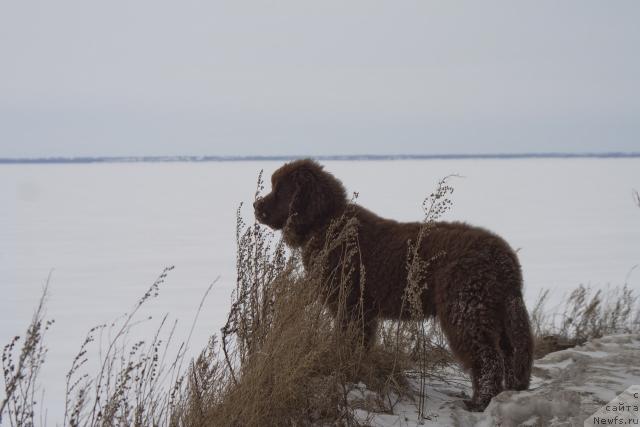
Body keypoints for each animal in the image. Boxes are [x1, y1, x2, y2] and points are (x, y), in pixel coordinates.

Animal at [252, 158, 532, 412]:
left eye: (280, 189)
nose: (256, 205)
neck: (327, 222)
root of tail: (504, 258)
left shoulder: (351, 305)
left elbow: (350, 340)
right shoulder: (362, 311)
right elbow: (359, 343)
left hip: (466, 311)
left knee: (487, 359)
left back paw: (479, 402)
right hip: (494, 312)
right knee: (509, 354)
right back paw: (508, 393)